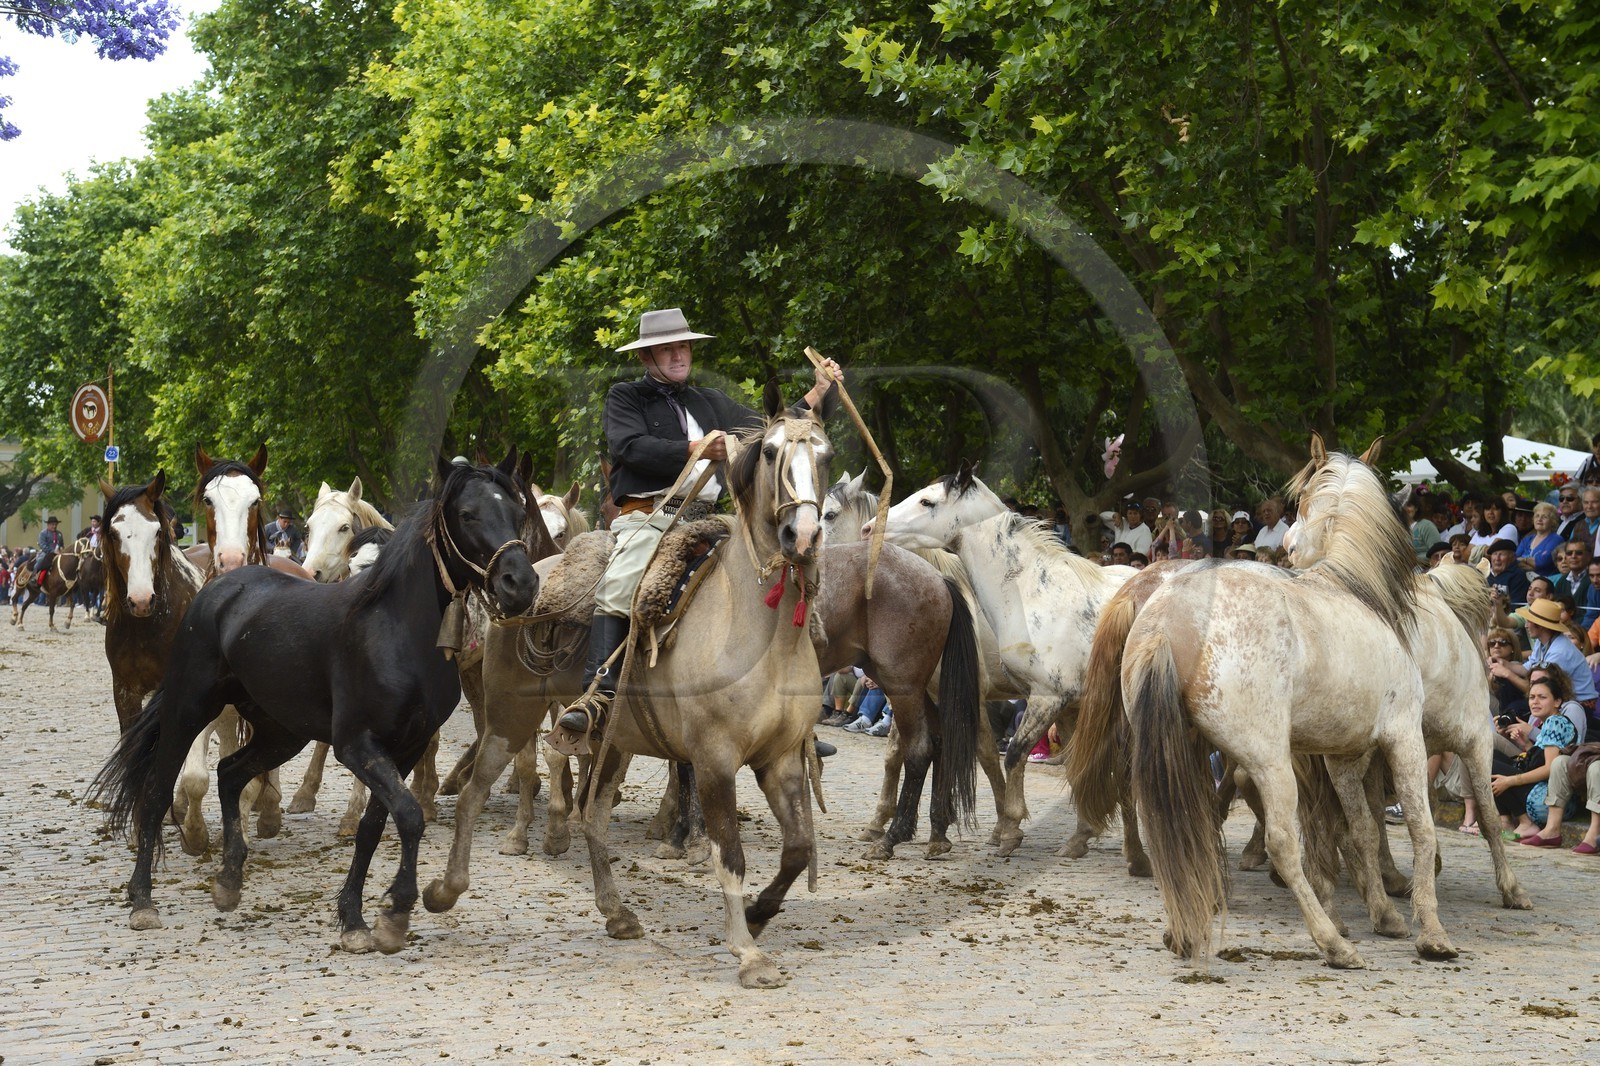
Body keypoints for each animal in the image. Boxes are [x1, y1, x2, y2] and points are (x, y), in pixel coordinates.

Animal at [92, 453, 540, 953]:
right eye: (467, 514)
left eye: (518, 512)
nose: (520, 584)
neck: (396, 629)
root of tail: (219, 586)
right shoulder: (357, 745)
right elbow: (407, 816)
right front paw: (394, 914)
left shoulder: (405, 747)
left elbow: (373, 826)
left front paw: (355, 918)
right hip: (189, 710)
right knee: (156, 790)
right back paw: (143, 901)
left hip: (280, 732)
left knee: (230, 774)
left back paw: (228, 882)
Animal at [865, 462, 1138, 858]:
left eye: (927, 501)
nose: (869, 529)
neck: (1033, 593)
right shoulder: (1071, 706)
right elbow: (1076, 767)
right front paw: (1078, 838)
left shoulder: (1046, 699)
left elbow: (1013, 755)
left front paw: (1010, 830)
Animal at [1107, 438, 1455, 969]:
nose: (1287, 547)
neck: (1356, 591)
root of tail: (1169, 619)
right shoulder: (1403, 739)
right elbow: (1420, 828)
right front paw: (1431, 934)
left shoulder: (1343, 755)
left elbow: (1362, 831)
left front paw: (1386, 916)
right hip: (1270, 761)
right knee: (1283, 843)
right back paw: (1332, 942)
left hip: (1181, 751)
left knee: (1179, 826)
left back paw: (1181, 929)